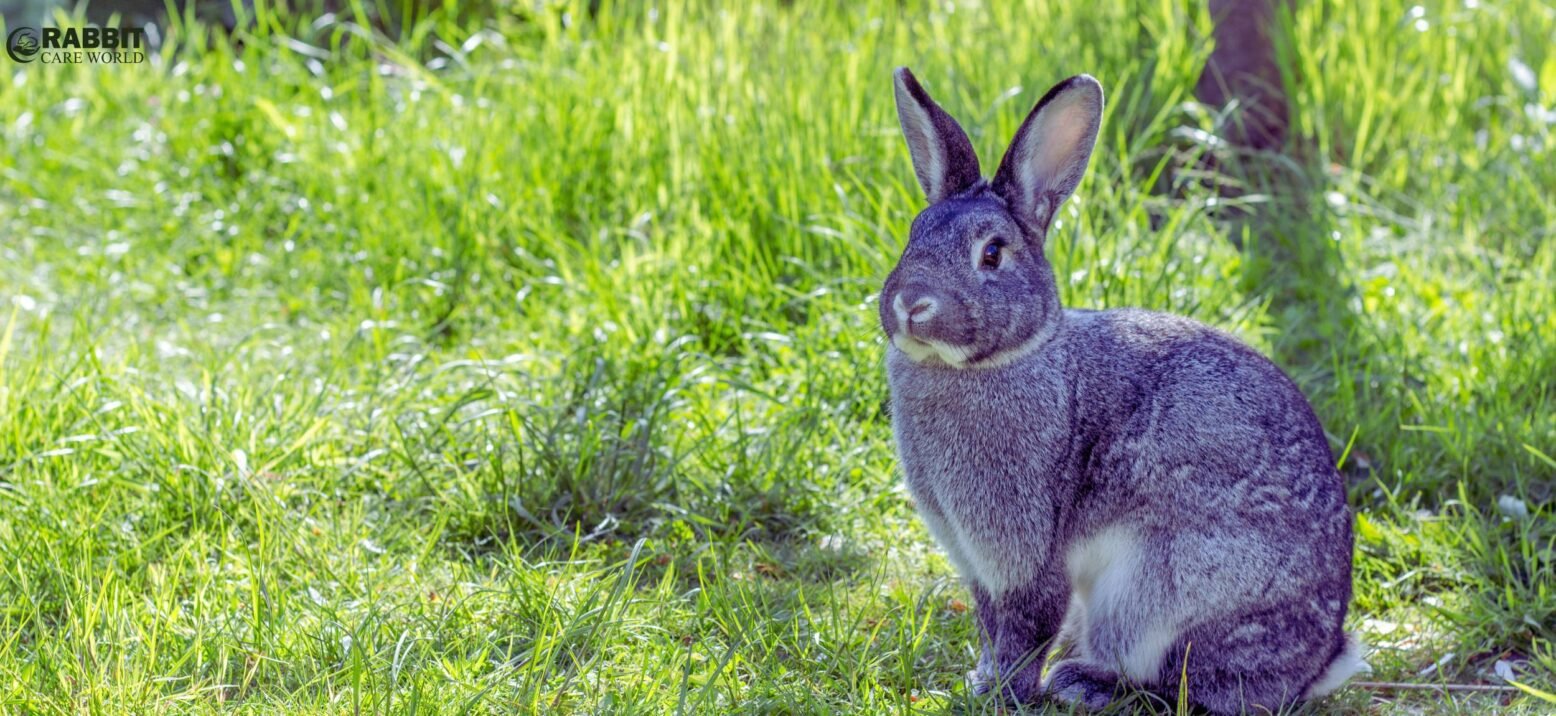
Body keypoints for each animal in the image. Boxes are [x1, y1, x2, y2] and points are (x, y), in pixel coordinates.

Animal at [883, 66, 1369, 716]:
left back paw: (1085, 682)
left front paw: (1006, 696)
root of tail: (1320, 660)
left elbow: (1027, 629)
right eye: (912, 235)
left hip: (1163, 592)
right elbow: (991, 626)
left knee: (1186, 685)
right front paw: (980, 684)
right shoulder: (975, 561)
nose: (912, 303)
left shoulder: (1027, 551)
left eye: (992, 253)